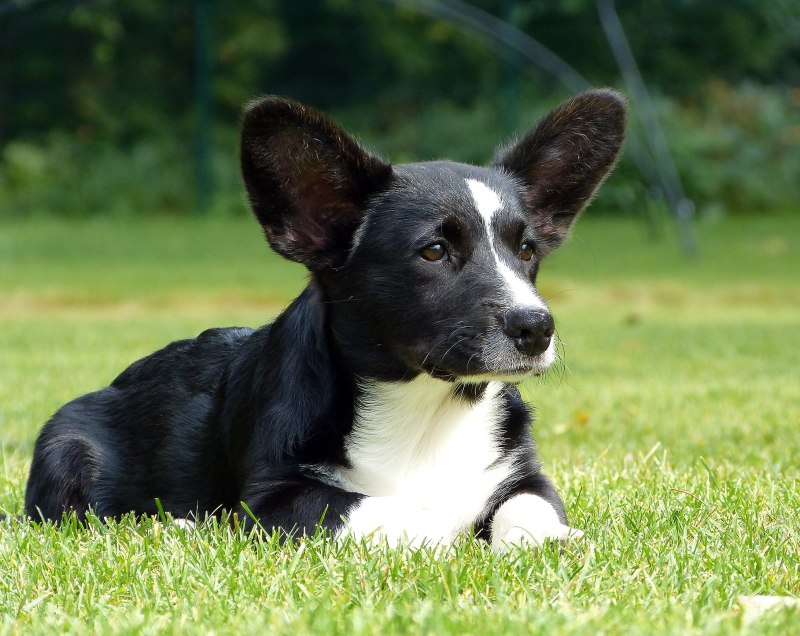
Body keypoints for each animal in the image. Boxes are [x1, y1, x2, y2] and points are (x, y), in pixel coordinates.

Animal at [23, 90, 625, 549]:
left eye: (526, 251)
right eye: (433, 251)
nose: (537, 328)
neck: (425, 409)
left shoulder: (522, 478)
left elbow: (531, 509)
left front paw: (553, 541)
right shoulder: (279, 498)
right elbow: (379, 508)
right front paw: (442, 536)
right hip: (67, 449)